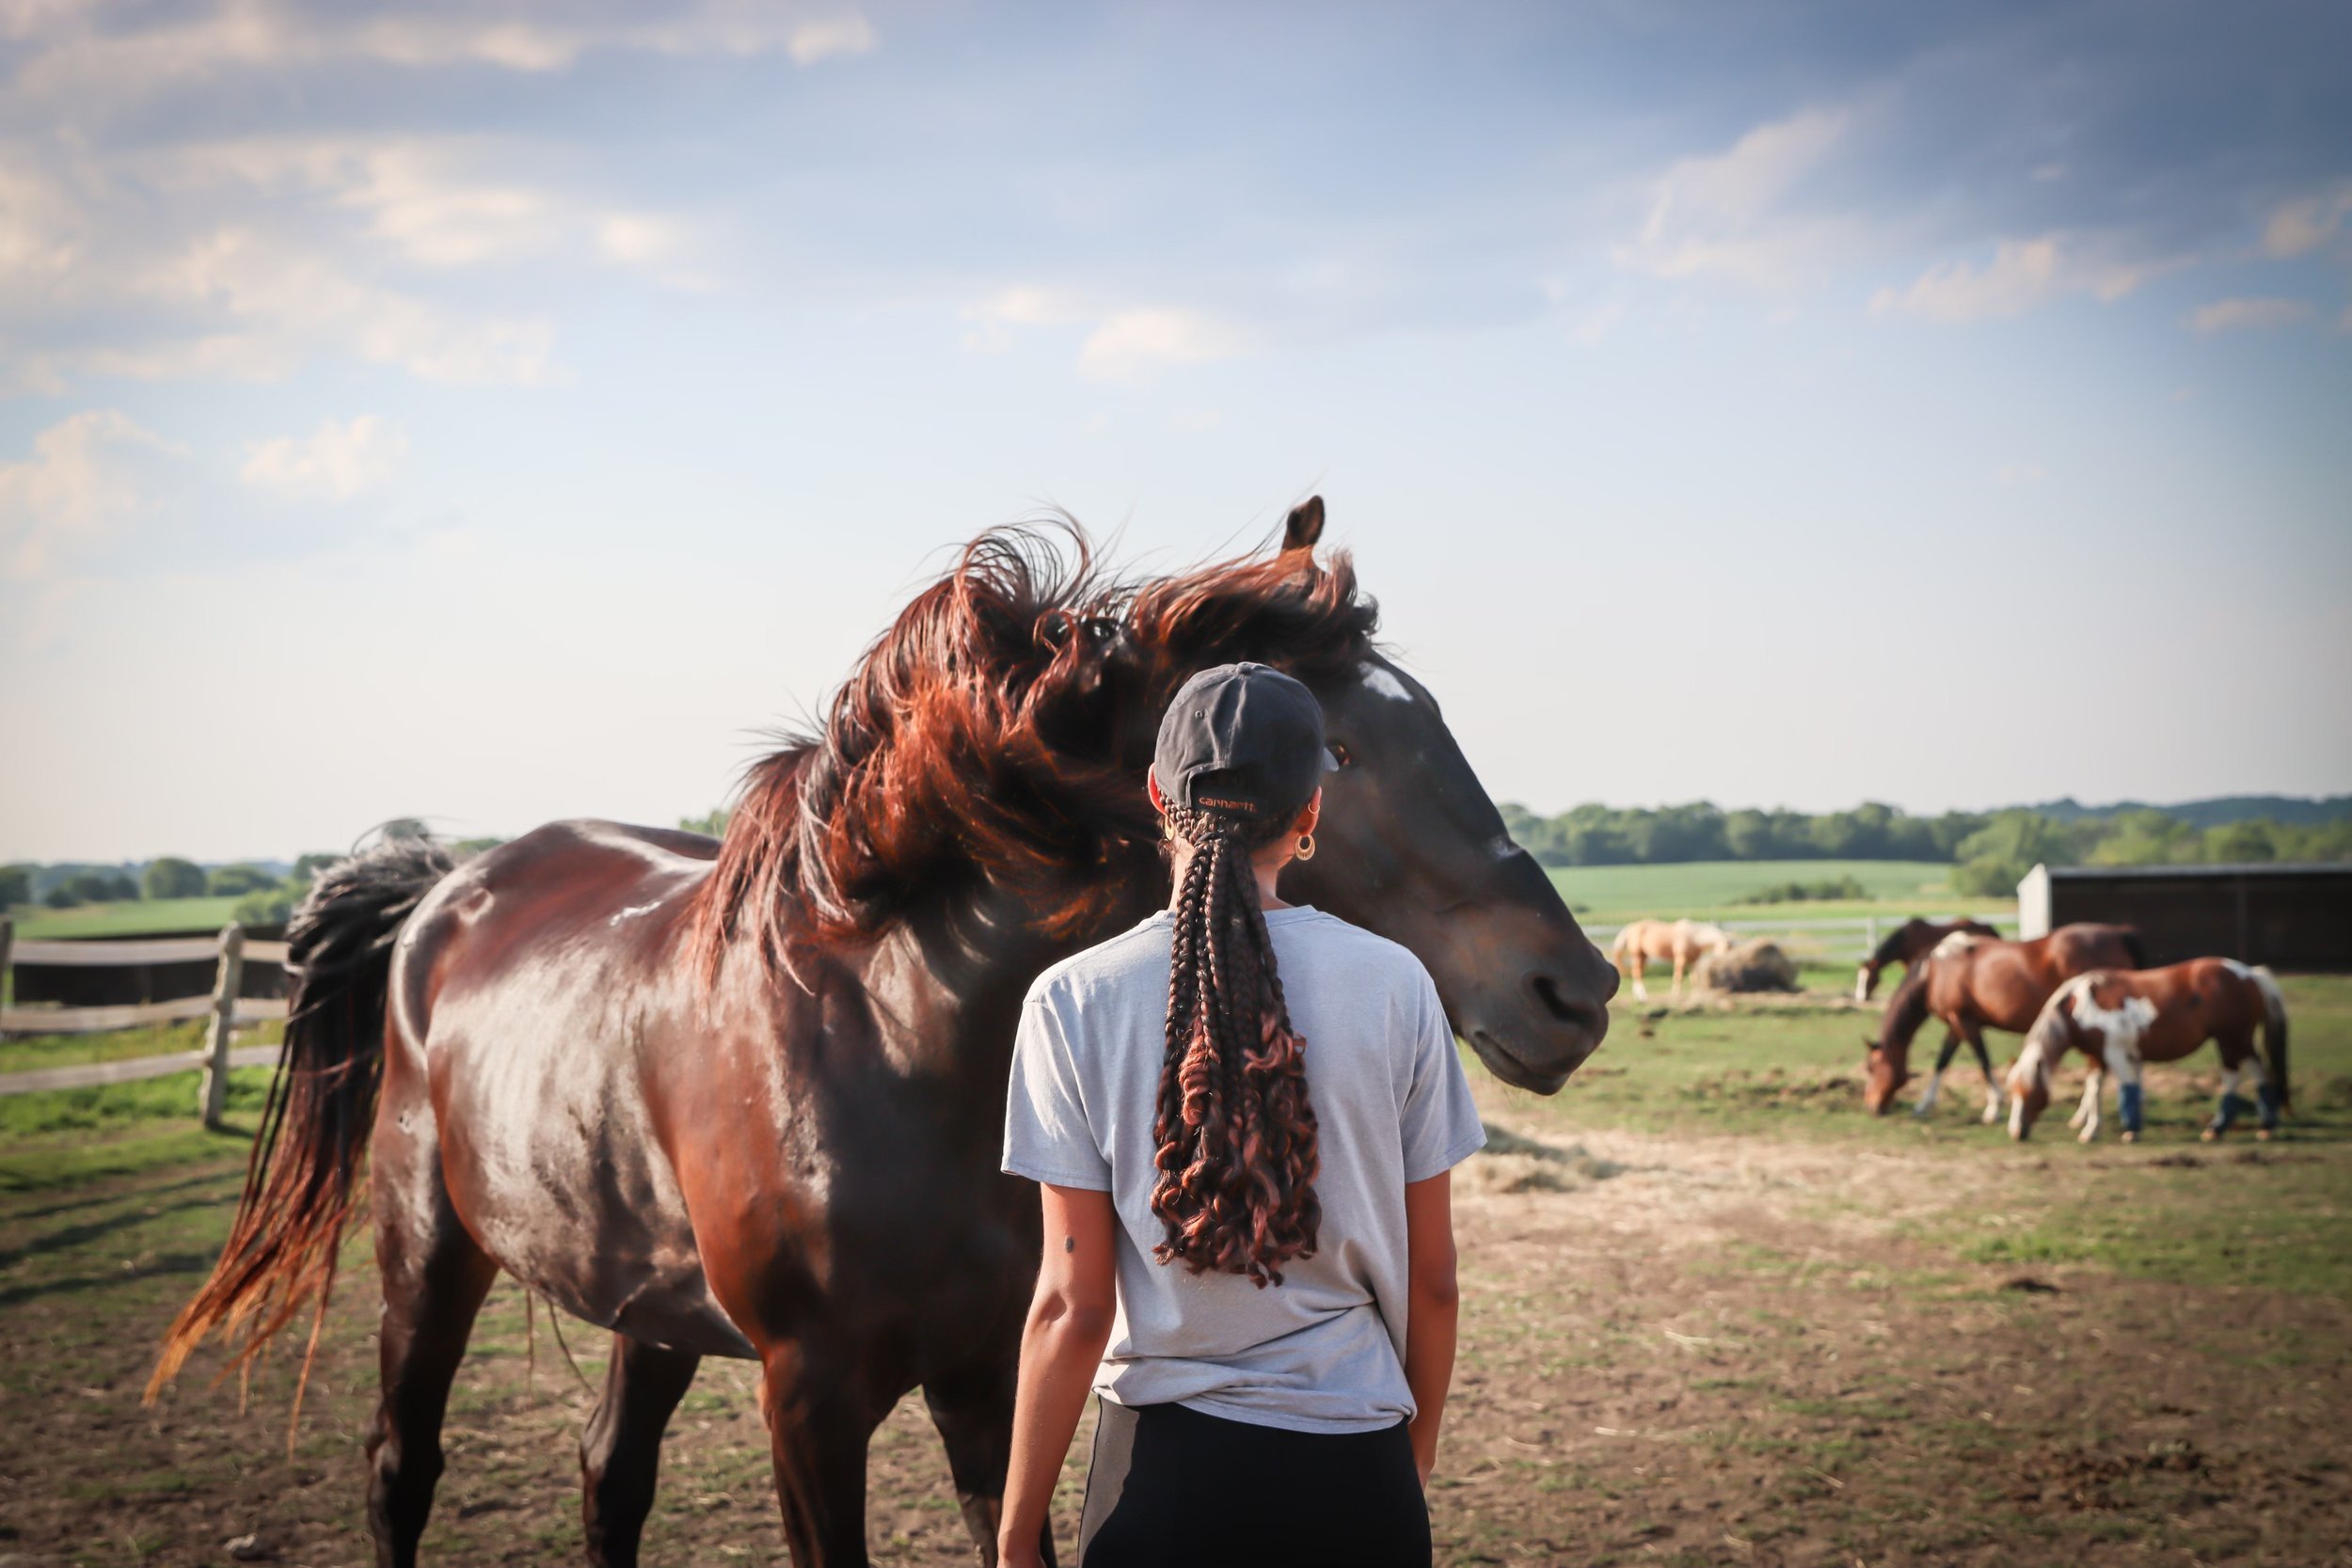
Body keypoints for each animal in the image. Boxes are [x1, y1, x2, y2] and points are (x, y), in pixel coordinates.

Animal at [149, 498, 1620, 1568]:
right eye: (1345, 752)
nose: (1577, 986)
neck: (892, 1042)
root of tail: (441, 892)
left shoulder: (985, 1373)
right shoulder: (808, 1398)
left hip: (645, 1307)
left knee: (608, 1477)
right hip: (428, 1254)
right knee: (401, 1471)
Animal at [1609, 918, 1734, 1003]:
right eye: (1727, 948)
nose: (1725, 963)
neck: (1693, 936)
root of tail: (1631, 927)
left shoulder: (1693, 961)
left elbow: (1694, 978)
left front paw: (1695, 996)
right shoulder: (1680, 959)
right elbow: (1678, 976)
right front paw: (1675, 995)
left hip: (1644, 956)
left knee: (1637, 973)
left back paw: (1638, 997)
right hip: (1638, 955)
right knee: (1637, 973)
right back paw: (1643, 997)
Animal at [1862, 923, 2147, 1120]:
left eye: (1870, 1068)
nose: (1871, 1106)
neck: (1935, 972)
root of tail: (2119, 935)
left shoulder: (1965, 1023)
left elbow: (1983, 1061)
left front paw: (1993, 1107)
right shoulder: (1957, 1025)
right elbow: (1942, 1062)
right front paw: (1923, 1105)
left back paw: (2084, 1117)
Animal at [2005, 959, 2290, 1143]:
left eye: (2030, 1093)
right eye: (2013, 1092)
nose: (2016, 1132)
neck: (2081, 1005)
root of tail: (2250, 974)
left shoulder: (2115, 1054)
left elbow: (2124, 1088)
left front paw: (2129, 1130)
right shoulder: (2097, 1057)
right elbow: (2096, 1090)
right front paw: (2091, 1130)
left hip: (2230, 1040)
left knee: (2233, 1077)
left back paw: (2217, 1128)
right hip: (2240, 1041)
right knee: (2259, 1073)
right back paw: (2266, 1126)